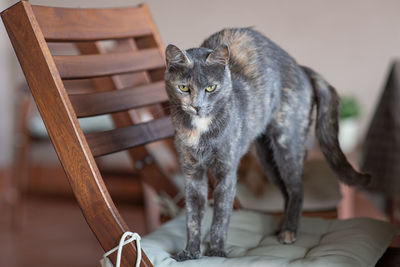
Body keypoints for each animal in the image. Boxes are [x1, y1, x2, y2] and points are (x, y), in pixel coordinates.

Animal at [164, 27, 370, 262]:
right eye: (183, 87)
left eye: (210, 88)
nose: (196, 106)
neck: (200, 130)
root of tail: (300, 67)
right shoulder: (192, 172)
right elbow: (192, 216)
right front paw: (190, 252)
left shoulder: (227, 172)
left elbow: (221, 216)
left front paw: (217, 252)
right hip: (266, 157)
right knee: (286, 191)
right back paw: (282, 226)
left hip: (286, 143)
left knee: (297, 187)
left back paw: (289, 231)